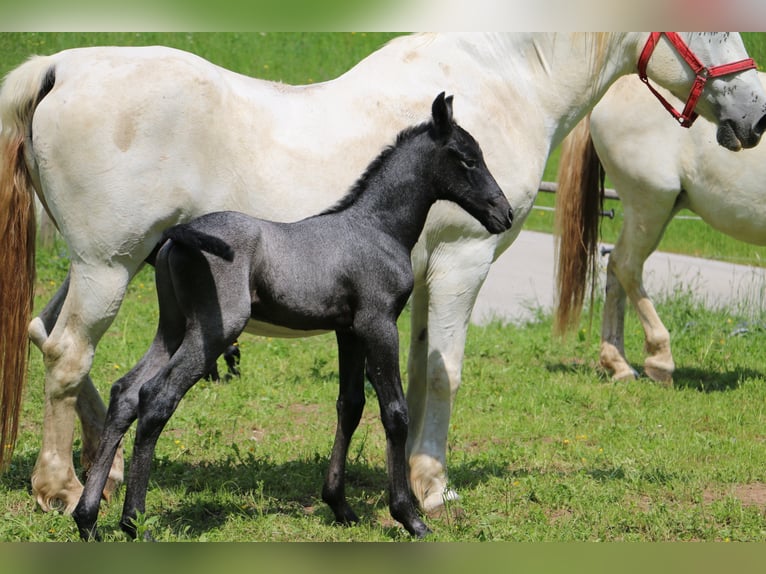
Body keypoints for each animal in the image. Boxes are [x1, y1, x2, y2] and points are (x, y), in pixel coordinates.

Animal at [73, 92, 516, 544]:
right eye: (468, 159)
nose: (505, 213)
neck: (377, 228)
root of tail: (177, 235)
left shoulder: (348, 331)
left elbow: (350, 405)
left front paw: (340, 506)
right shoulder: (378, 324)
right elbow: (394, 412)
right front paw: (409, 516)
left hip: (173, 327)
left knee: (126, 393)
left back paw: (87, 519)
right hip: (212, 332)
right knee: (156, 398)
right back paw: (134, 523)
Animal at [556, 71, 766, 388]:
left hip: (651, 212)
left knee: (615, 267)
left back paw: (618, 364)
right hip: (650, 206)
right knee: (626, 265)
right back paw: (659, 360)